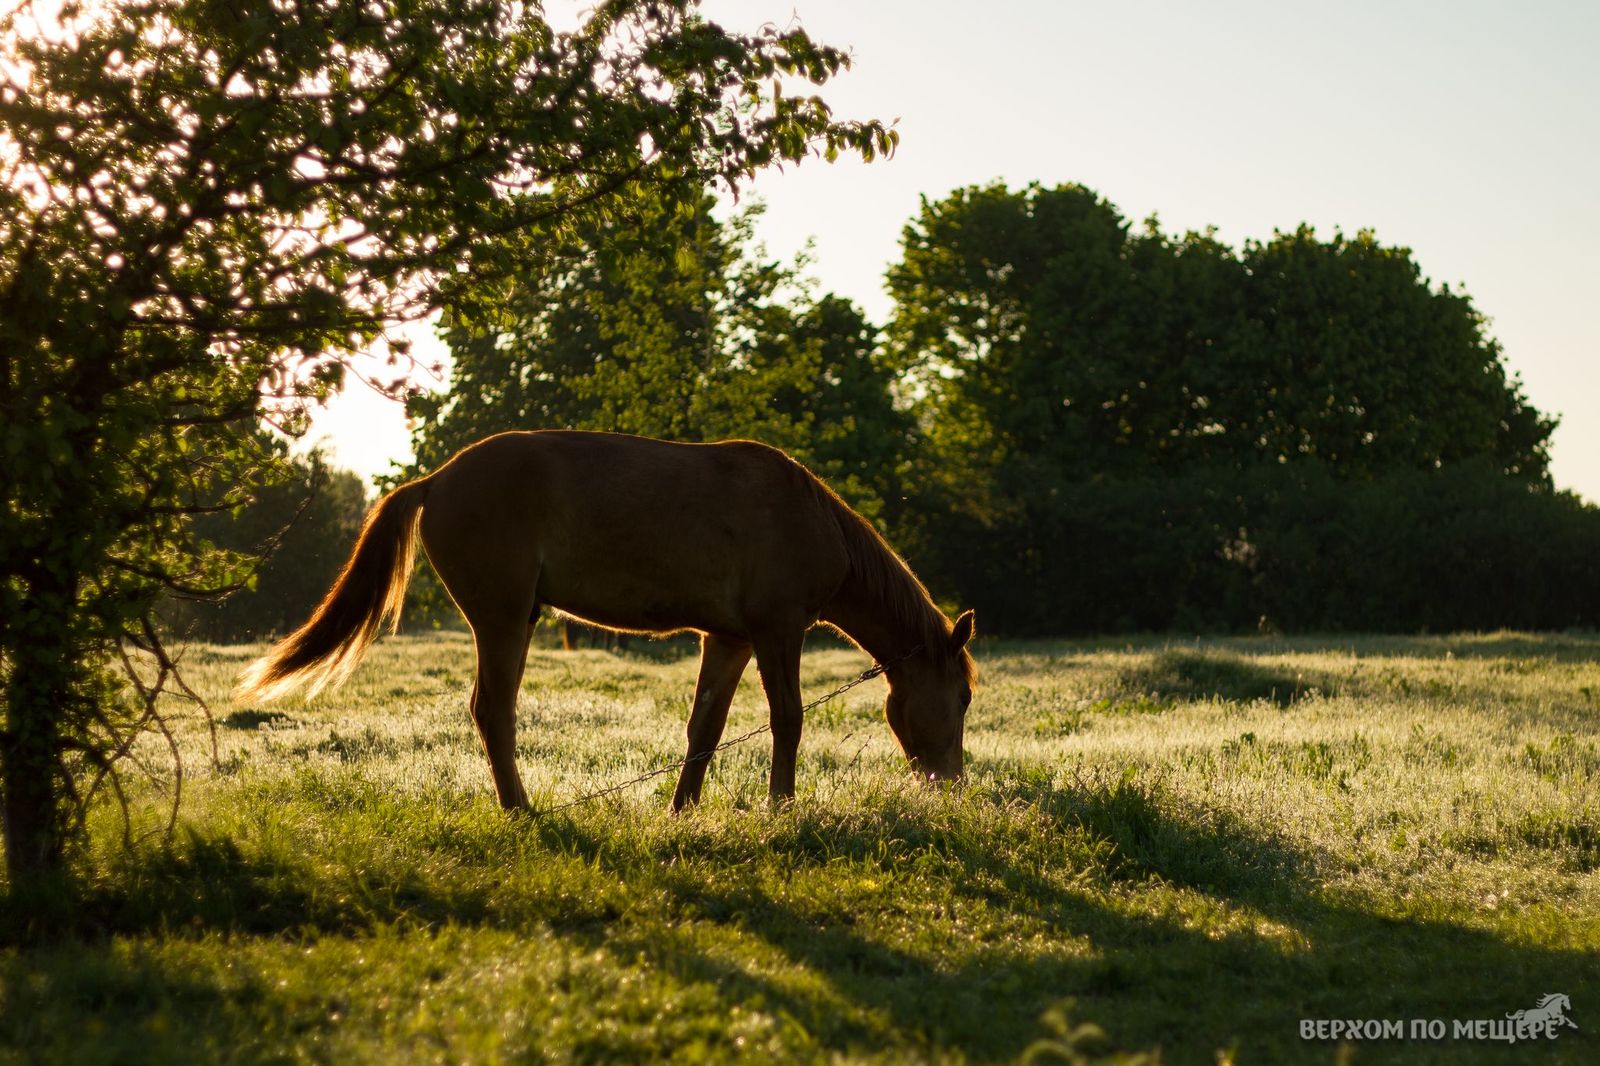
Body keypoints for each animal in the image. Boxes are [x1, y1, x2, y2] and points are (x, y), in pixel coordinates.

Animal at [230, 425, 966, 806]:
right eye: (959, 697)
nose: (952, 783)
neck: (808, 519)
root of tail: (435, 481)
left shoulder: (728, 640)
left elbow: (706, 727)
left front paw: (683, 808)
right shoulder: (777, 632)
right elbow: (788, 720)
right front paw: (781, 807)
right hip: (503, 621)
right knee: (492, 711)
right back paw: (519, 807)